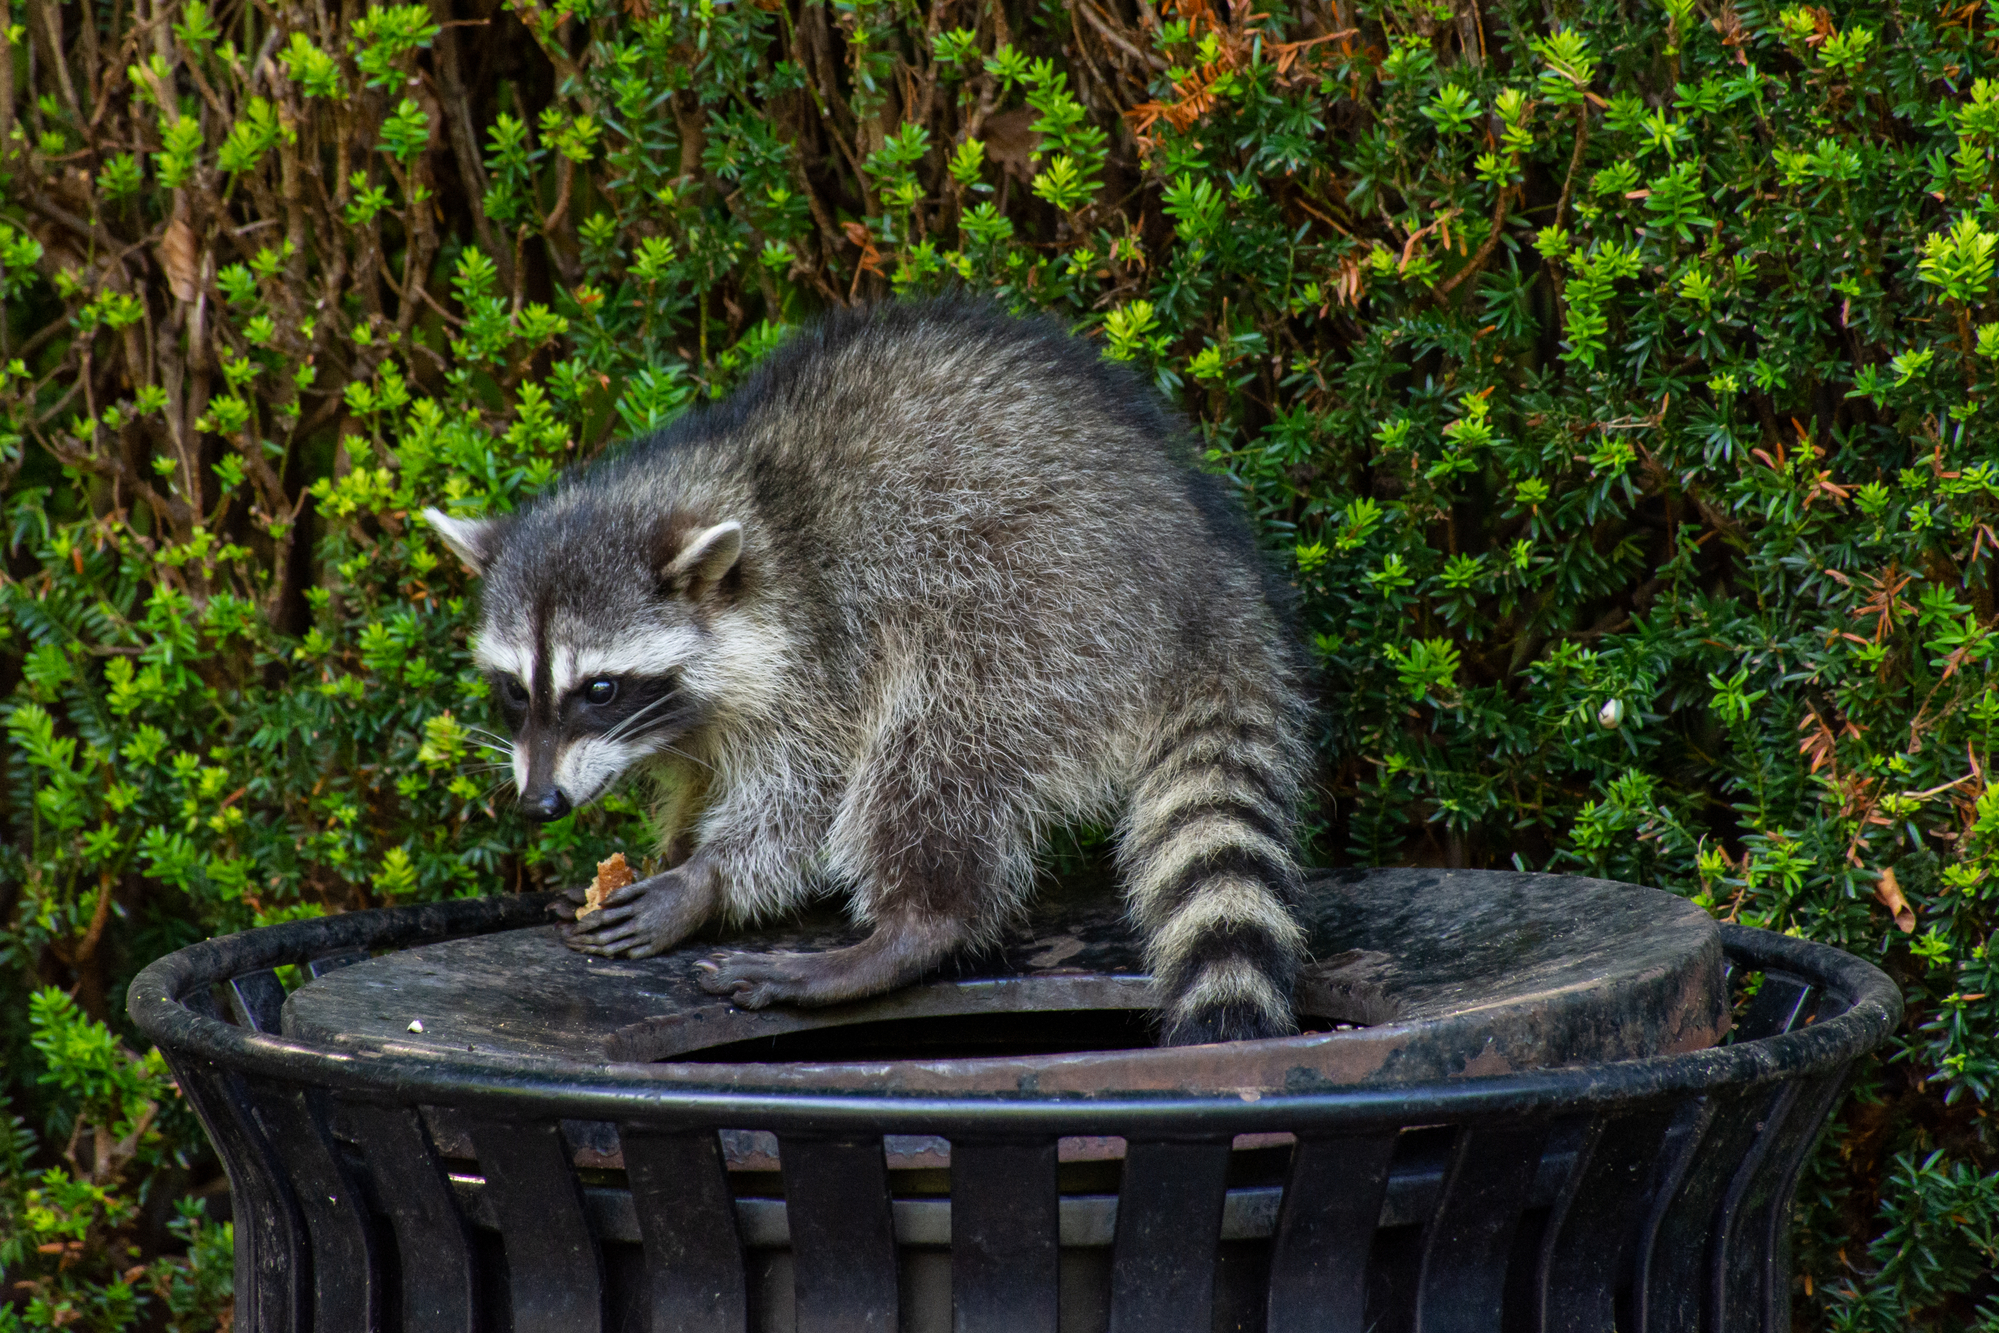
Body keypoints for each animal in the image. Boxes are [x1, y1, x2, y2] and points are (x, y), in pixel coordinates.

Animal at [424, 300, 1313, 1044]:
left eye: (600, 689)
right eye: (514, 691)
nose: (540, 803)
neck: (742, 486)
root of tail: (1210, 583)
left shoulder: (821, 643)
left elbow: (807, 791)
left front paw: (705, 880)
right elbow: (697, 780)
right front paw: (670, 849)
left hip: (1039, 612)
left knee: (932, 747)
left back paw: (909, 928)